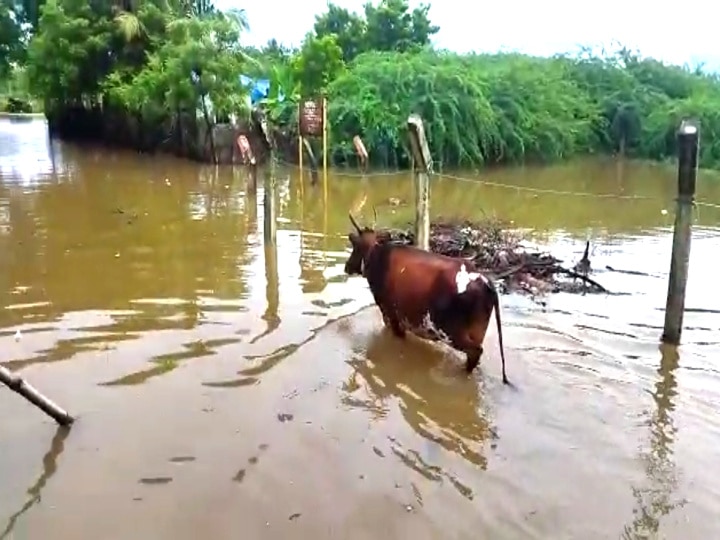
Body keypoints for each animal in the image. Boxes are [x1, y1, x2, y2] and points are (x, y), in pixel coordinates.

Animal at [344, 211, 510, 384]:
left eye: (355, 247)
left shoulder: (390, 314)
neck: (378, 257)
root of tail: (484, 280)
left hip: (451, 331)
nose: (346, 267)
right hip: (477, 331)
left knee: (475, 352)